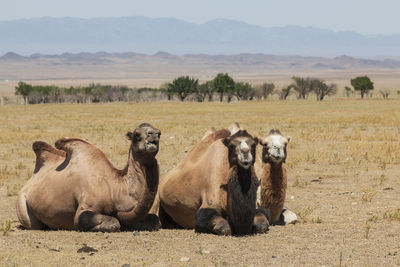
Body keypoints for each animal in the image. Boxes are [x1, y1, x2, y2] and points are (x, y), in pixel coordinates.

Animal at [15, 123, 162, 232]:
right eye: (136, 134)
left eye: (160, 133)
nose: (154, 135)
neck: (114, 187)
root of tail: (27, 184)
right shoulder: (85, 207)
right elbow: (113, 222)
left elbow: (156, 221)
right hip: (22, 202)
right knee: (34, 224)